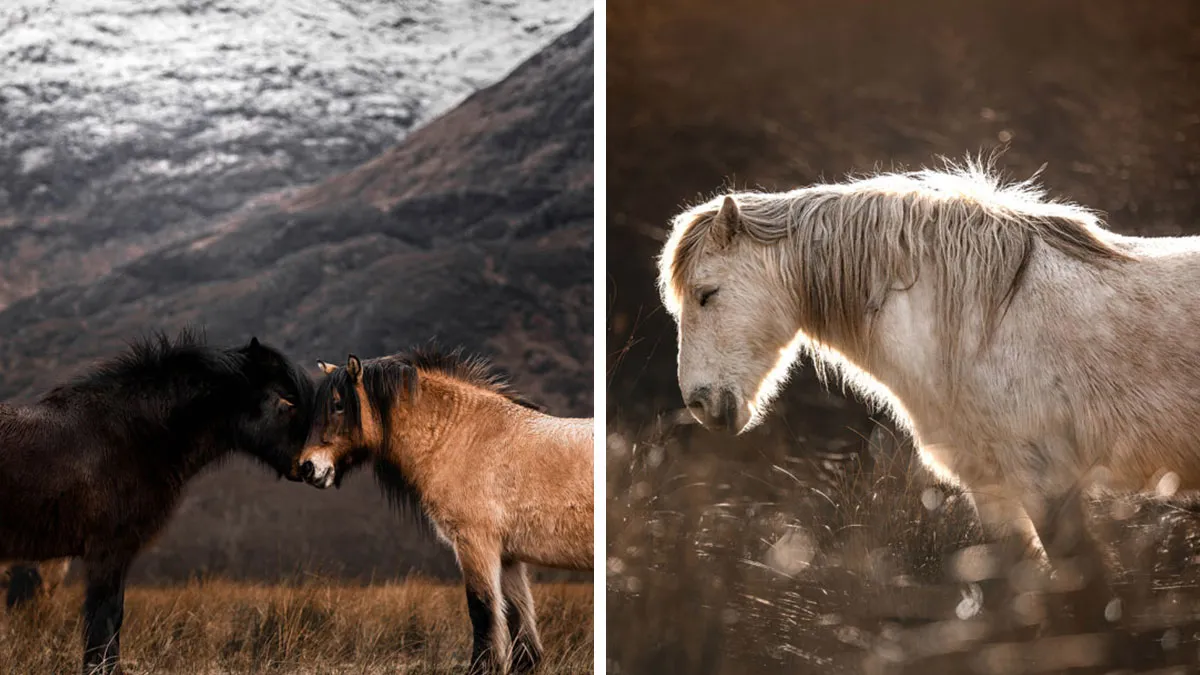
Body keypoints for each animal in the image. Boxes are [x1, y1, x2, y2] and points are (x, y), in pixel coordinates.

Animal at [295, 347, 593, 674]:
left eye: (337, 405)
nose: (308, 467)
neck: (466, 437)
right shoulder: (508, 557)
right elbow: (519, 620)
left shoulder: (475, 544)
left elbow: (482, 609)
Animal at [657, 160, 1200, 634]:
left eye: (707, 294)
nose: (700, 403)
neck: (980, 325)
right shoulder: (993, 489)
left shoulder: (1049, 482)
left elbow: (1090, 600)